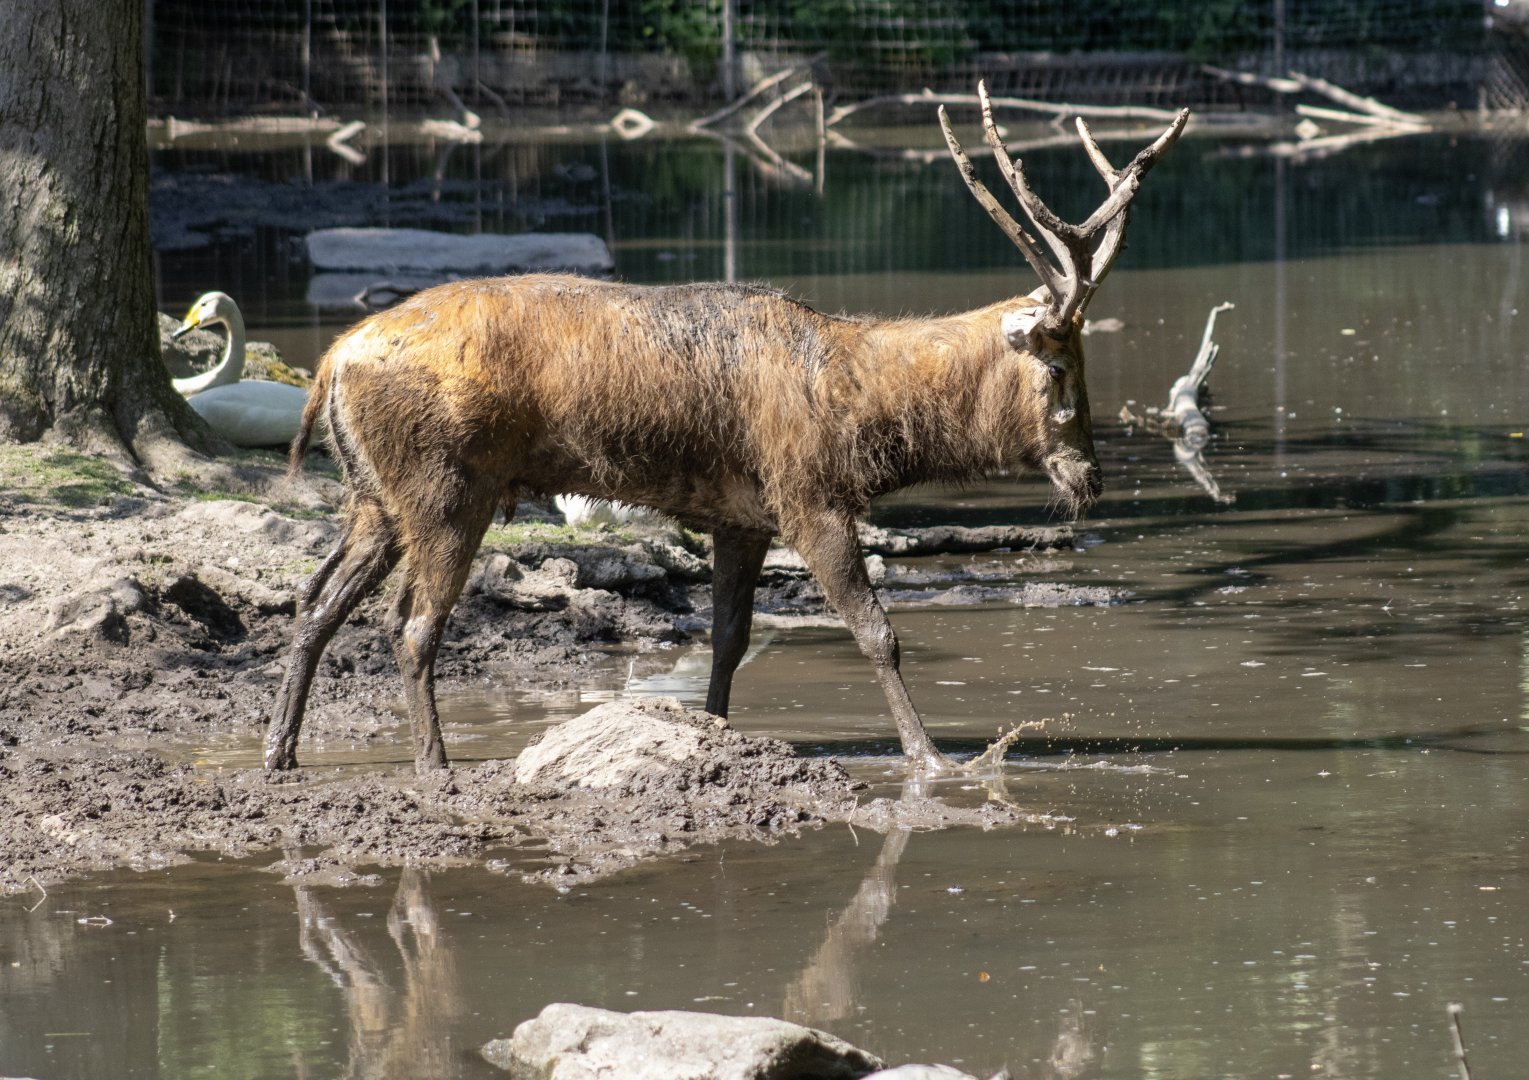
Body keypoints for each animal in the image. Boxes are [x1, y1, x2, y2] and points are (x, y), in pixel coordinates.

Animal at [265, 83, 1189, 777]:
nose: (1089, 477)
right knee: (411, 625)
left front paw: (715, 733)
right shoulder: (809, 495)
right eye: (1060, 369)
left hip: (374, 497)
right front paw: (934, 759)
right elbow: (877, 633)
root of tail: (334, 360)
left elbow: (727, 640)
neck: (862, 411)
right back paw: (434, 764)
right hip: (446, 488)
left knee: (315, 601)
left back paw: (281, 752)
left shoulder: (740, 515)